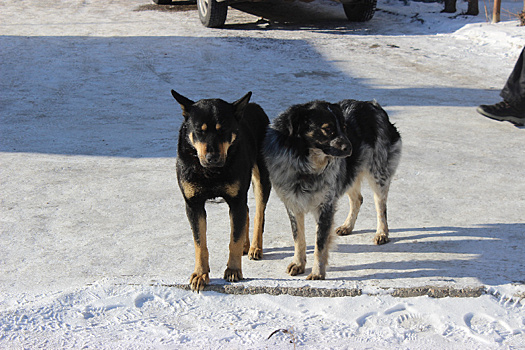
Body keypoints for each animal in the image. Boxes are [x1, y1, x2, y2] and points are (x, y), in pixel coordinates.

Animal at [171, 90, 270, 292]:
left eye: (222, 130)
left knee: (259, 213)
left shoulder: (236, 200)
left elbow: (234, 239)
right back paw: (247, 245)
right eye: (199, 130)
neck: (211, 172)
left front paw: (233, 270)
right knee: (248, 212)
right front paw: (200, 274)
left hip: (262, 178)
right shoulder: (193, 204)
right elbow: (200, 243)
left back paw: (255, 247)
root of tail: (254, 106)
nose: (212, 157)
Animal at [262, 100, 402, 280]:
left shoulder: (326, 206)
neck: (305, 165)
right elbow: (298, 238)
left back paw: (382, 233)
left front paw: (317, 272)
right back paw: (347, 226)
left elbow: (320, 244)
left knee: (381, 207)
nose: (350, 148)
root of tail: (373, 105)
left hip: (378, 174)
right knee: (358, 199)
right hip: (350, 172)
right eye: (327, 129)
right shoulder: (293, 205)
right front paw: (299, 264)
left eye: (344, 127)